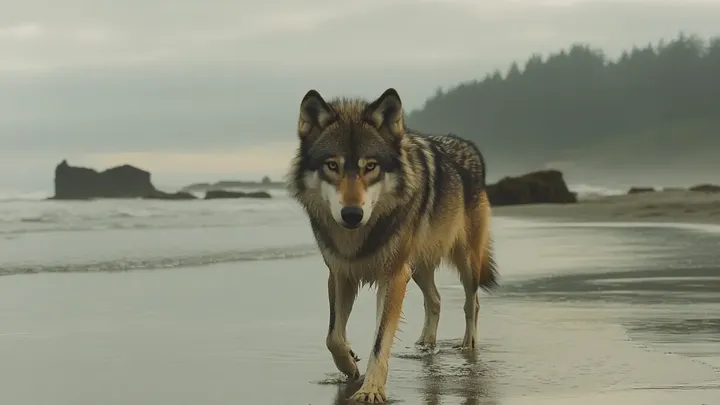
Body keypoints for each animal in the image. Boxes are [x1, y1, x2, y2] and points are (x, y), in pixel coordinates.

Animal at [286, 88, 499, 403]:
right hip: (418, 267)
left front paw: (371, 389)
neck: (358, 237)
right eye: (332, 165)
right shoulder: (340, 274)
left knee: (472, 303)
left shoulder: (393, 276)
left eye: (370, 166)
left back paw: (468, 345)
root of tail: (467, 145)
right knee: (435, 299)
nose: (352, 214)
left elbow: (380, 340)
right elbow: (333, 337)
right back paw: (426, 344)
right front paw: (350, 365)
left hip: (466, 263)